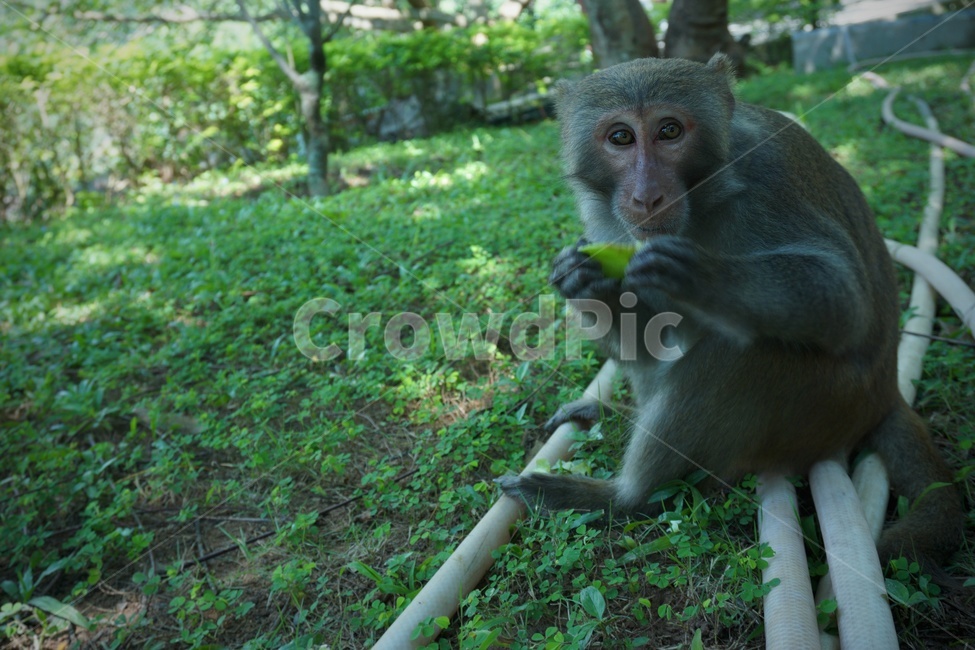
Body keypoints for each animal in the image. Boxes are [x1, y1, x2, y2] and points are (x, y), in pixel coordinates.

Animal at [497, 54, 963, 573]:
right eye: (620, 137)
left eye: (669, 130)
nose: (646, 197)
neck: (708, 192)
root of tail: (885, 393)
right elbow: (650, 333)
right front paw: (585, 280)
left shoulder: (769, 178)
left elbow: (845, 298)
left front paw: (701, 275)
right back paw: (613, 415)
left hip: (829, 406)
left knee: (741, 357)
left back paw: (623, 499)